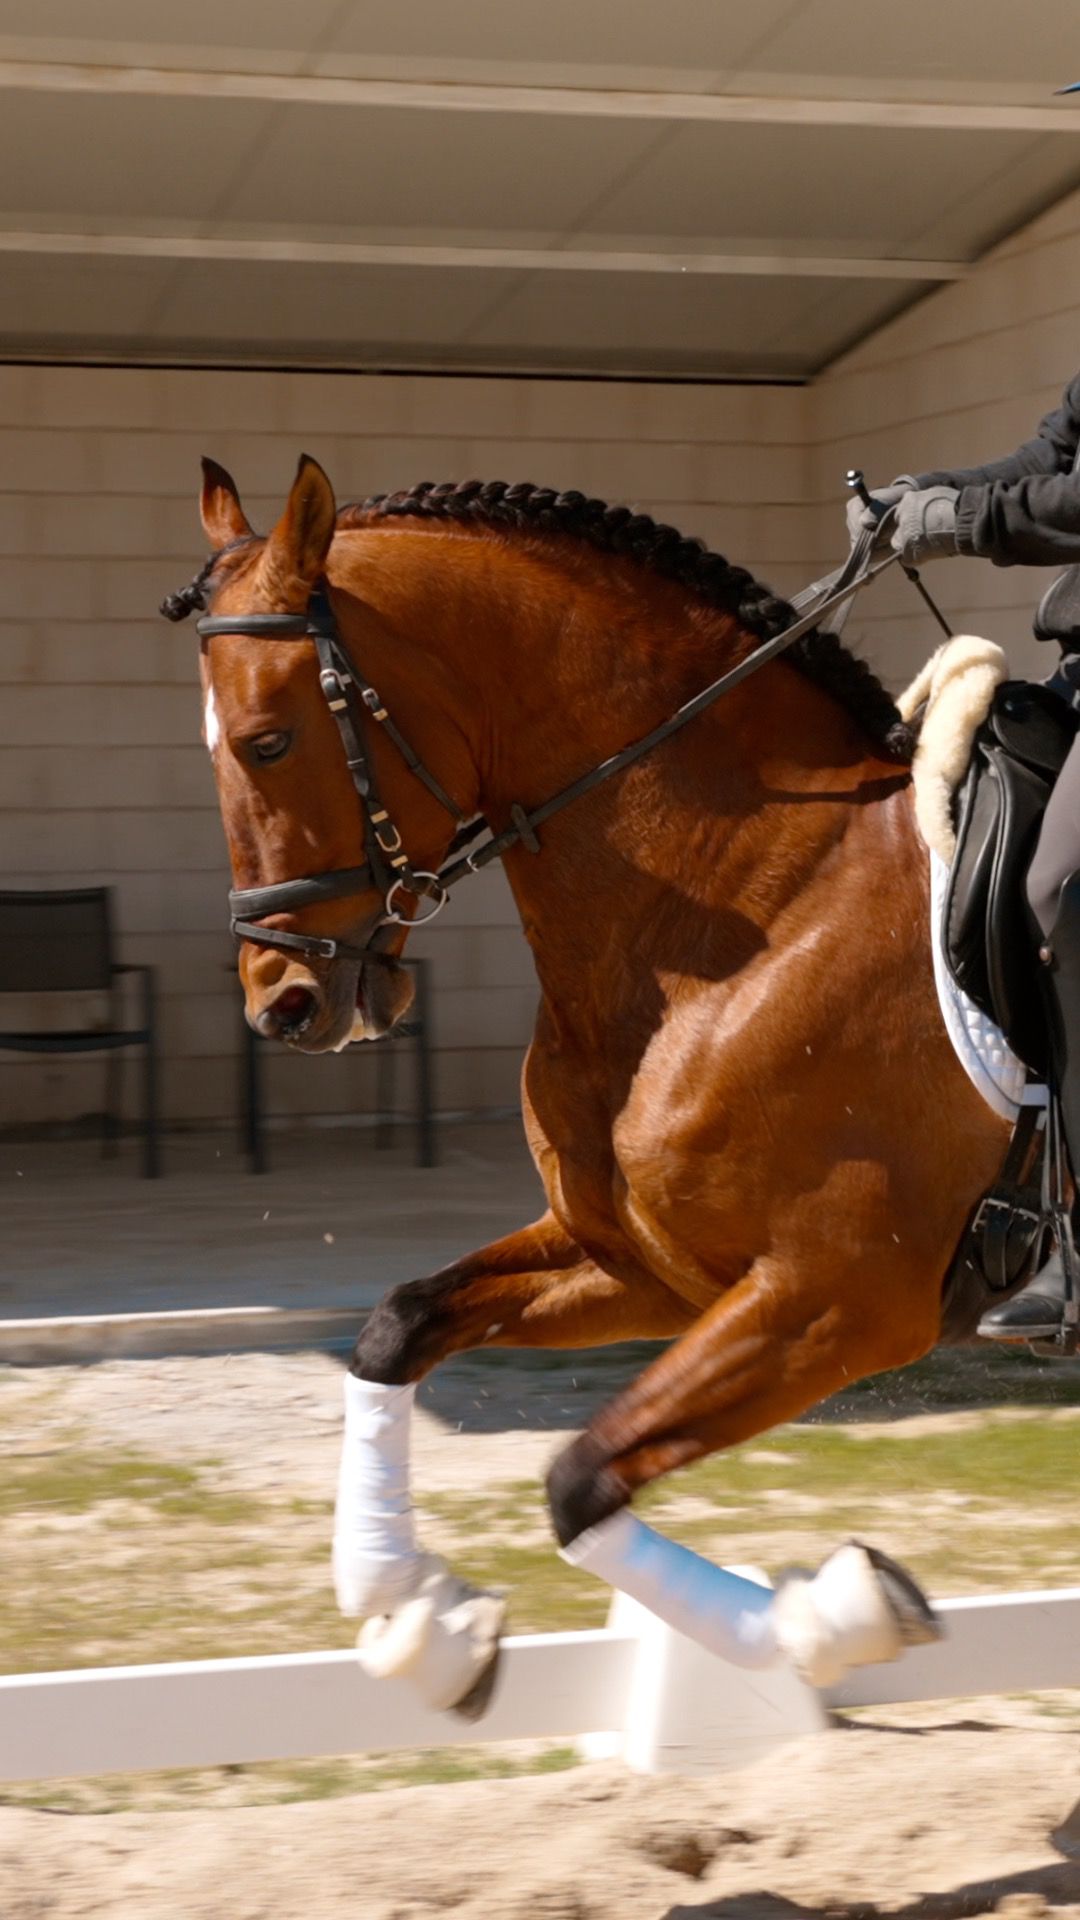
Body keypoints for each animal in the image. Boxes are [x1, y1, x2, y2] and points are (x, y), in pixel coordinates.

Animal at [165, 453, 1009, 1716]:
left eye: (268, 742)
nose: (285, 1003)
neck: (752, 912)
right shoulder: (648, 1265)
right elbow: (399, 1326)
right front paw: (421, 1618)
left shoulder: (838, 1298)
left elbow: (575, 1477)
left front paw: (842, 1616)